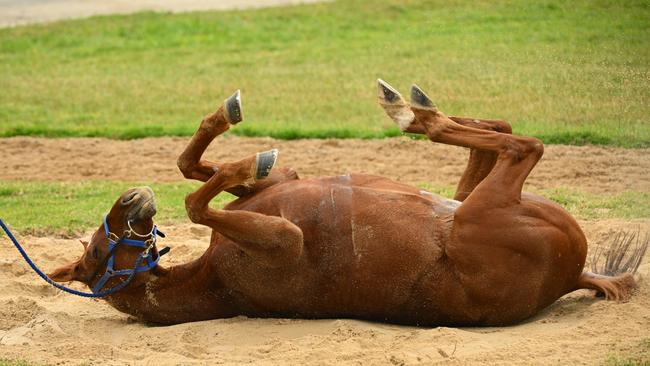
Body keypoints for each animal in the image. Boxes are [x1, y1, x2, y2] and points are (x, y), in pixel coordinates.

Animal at [49, 81, 632, 324]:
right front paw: (246, 157)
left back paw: (419, 105)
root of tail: (571, 273)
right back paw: (414, 113)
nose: (130, 198)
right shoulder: (286, 239)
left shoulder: (278, 187)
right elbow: (195, 201)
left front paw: (236, 138)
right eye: (98, 252)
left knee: (501, 133)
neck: (215, 277)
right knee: (520, 145)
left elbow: (192, 168)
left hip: (469, 199)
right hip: (482, 211)